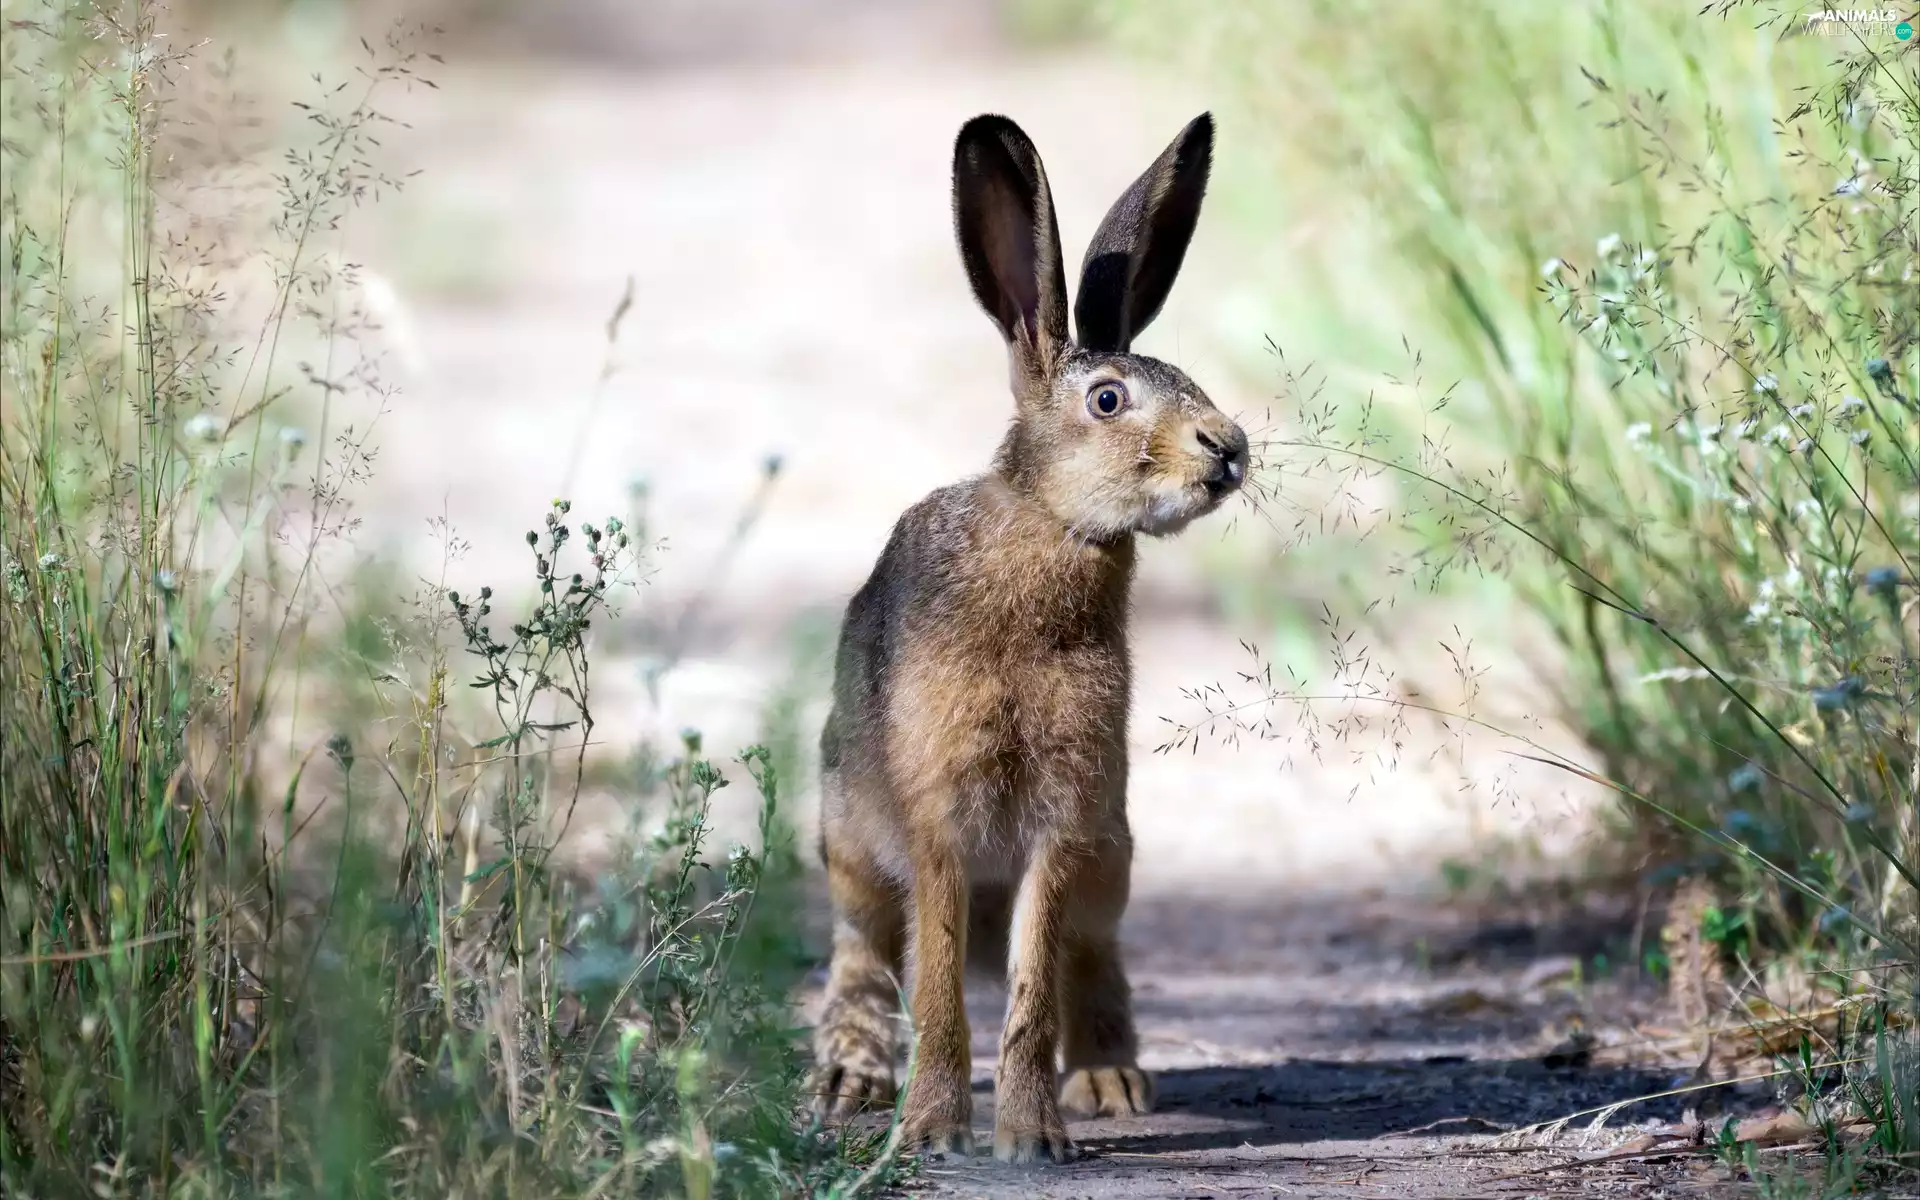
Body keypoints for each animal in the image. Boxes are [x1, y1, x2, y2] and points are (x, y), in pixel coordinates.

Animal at [808, 111, 1246, 1165]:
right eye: (1108, 400)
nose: (1230, 449)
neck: (1052, 528)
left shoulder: (1063, 820)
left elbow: (1032, 984)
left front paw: (1034, 1138)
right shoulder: (935, 818)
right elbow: (936, 984)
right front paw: (932, 1129)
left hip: (1111, 854)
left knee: (1091, 957)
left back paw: (1111, 1083)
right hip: (850, 841)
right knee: (863, 952)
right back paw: (850, 1076)